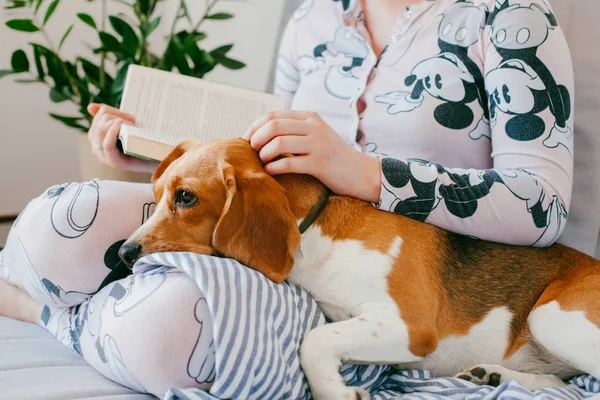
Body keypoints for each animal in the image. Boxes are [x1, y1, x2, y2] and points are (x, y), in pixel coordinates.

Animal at [120, 138, 600, 400]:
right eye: (157, 195)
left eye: (186, 197)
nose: (122, 254)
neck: (316, 230)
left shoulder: (411, 326)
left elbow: (314, 341)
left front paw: (334, 390)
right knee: (565, 385)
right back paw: (497, 375)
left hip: (552, 317)